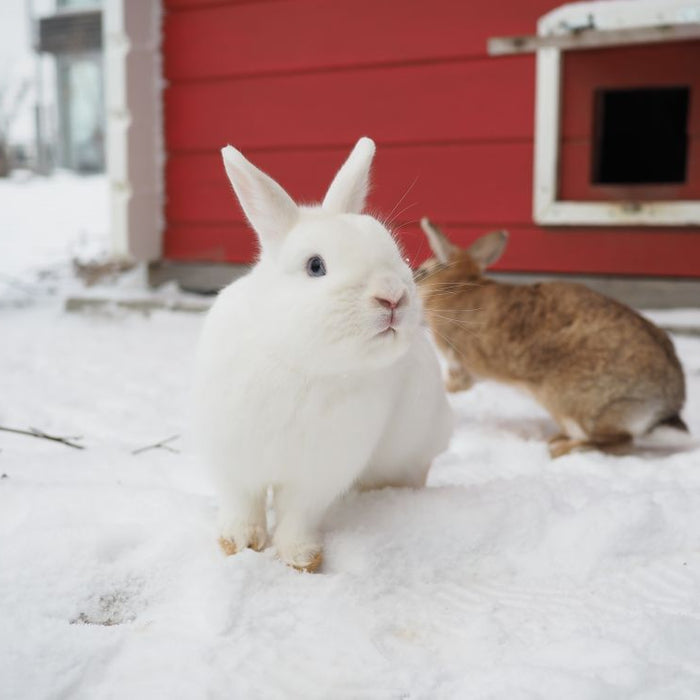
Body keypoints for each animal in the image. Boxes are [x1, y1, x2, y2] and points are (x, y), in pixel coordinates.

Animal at [193, 139, 453, 572]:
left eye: (393, 251)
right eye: (316, 266)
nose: (393, 296)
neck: (301, 365)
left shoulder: (317, 477)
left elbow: (297, 516)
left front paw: (302, 558)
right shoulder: (234, 463)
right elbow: (243, 505)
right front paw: (239, 544)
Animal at [415, 218, 688, 459]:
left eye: (422, 271)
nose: (415, 279)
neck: (459, 284)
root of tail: (665, 407)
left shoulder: (458, 363)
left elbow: (455, 384)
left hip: (570, 403)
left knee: (618, 442)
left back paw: (560, 450)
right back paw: (557, 440)